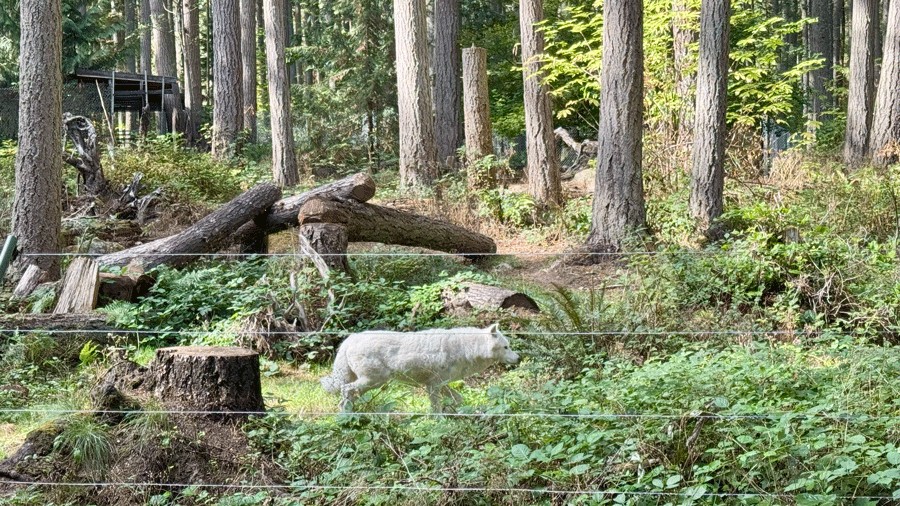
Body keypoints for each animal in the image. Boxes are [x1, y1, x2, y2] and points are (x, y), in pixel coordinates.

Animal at [320, 324, 520, 412]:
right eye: (506, 347)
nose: (519, 358)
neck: (464, 348)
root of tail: (349, 339)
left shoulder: (440, 384)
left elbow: (458, 399)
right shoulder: (433, 386)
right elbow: (436, 409)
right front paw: (438, 424)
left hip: (368, 384)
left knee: (345, 397)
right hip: (373, 382)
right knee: (345, 392)